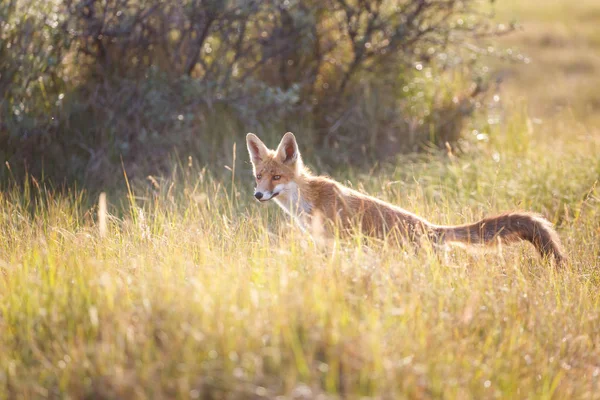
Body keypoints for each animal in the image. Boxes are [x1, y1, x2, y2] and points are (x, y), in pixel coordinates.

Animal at [246, 131, 564, 264]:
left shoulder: (339, 241)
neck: (307, 202)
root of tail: (433, 229)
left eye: (277, 177)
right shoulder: (324, 243)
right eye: (259, 176)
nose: (258, 194)